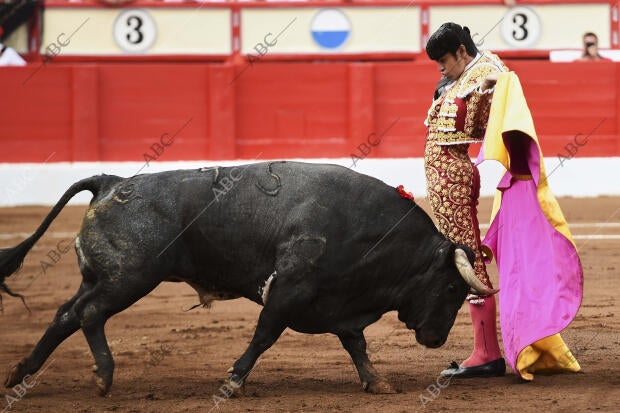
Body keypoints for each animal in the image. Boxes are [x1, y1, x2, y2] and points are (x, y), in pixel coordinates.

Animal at [0, 161, 494, 396]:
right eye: (453, 287)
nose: (435, 340)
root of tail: (111, 181)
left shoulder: (339, 303)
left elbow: (356, 345)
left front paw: (377, 382)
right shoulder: (289, 290)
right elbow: (263, 336)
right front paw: (233, 382)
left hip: (103, 276)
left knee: (66, 315)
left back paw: (22, 374)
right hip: (130, 278)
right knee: (90, 314)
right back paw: (103, 376)